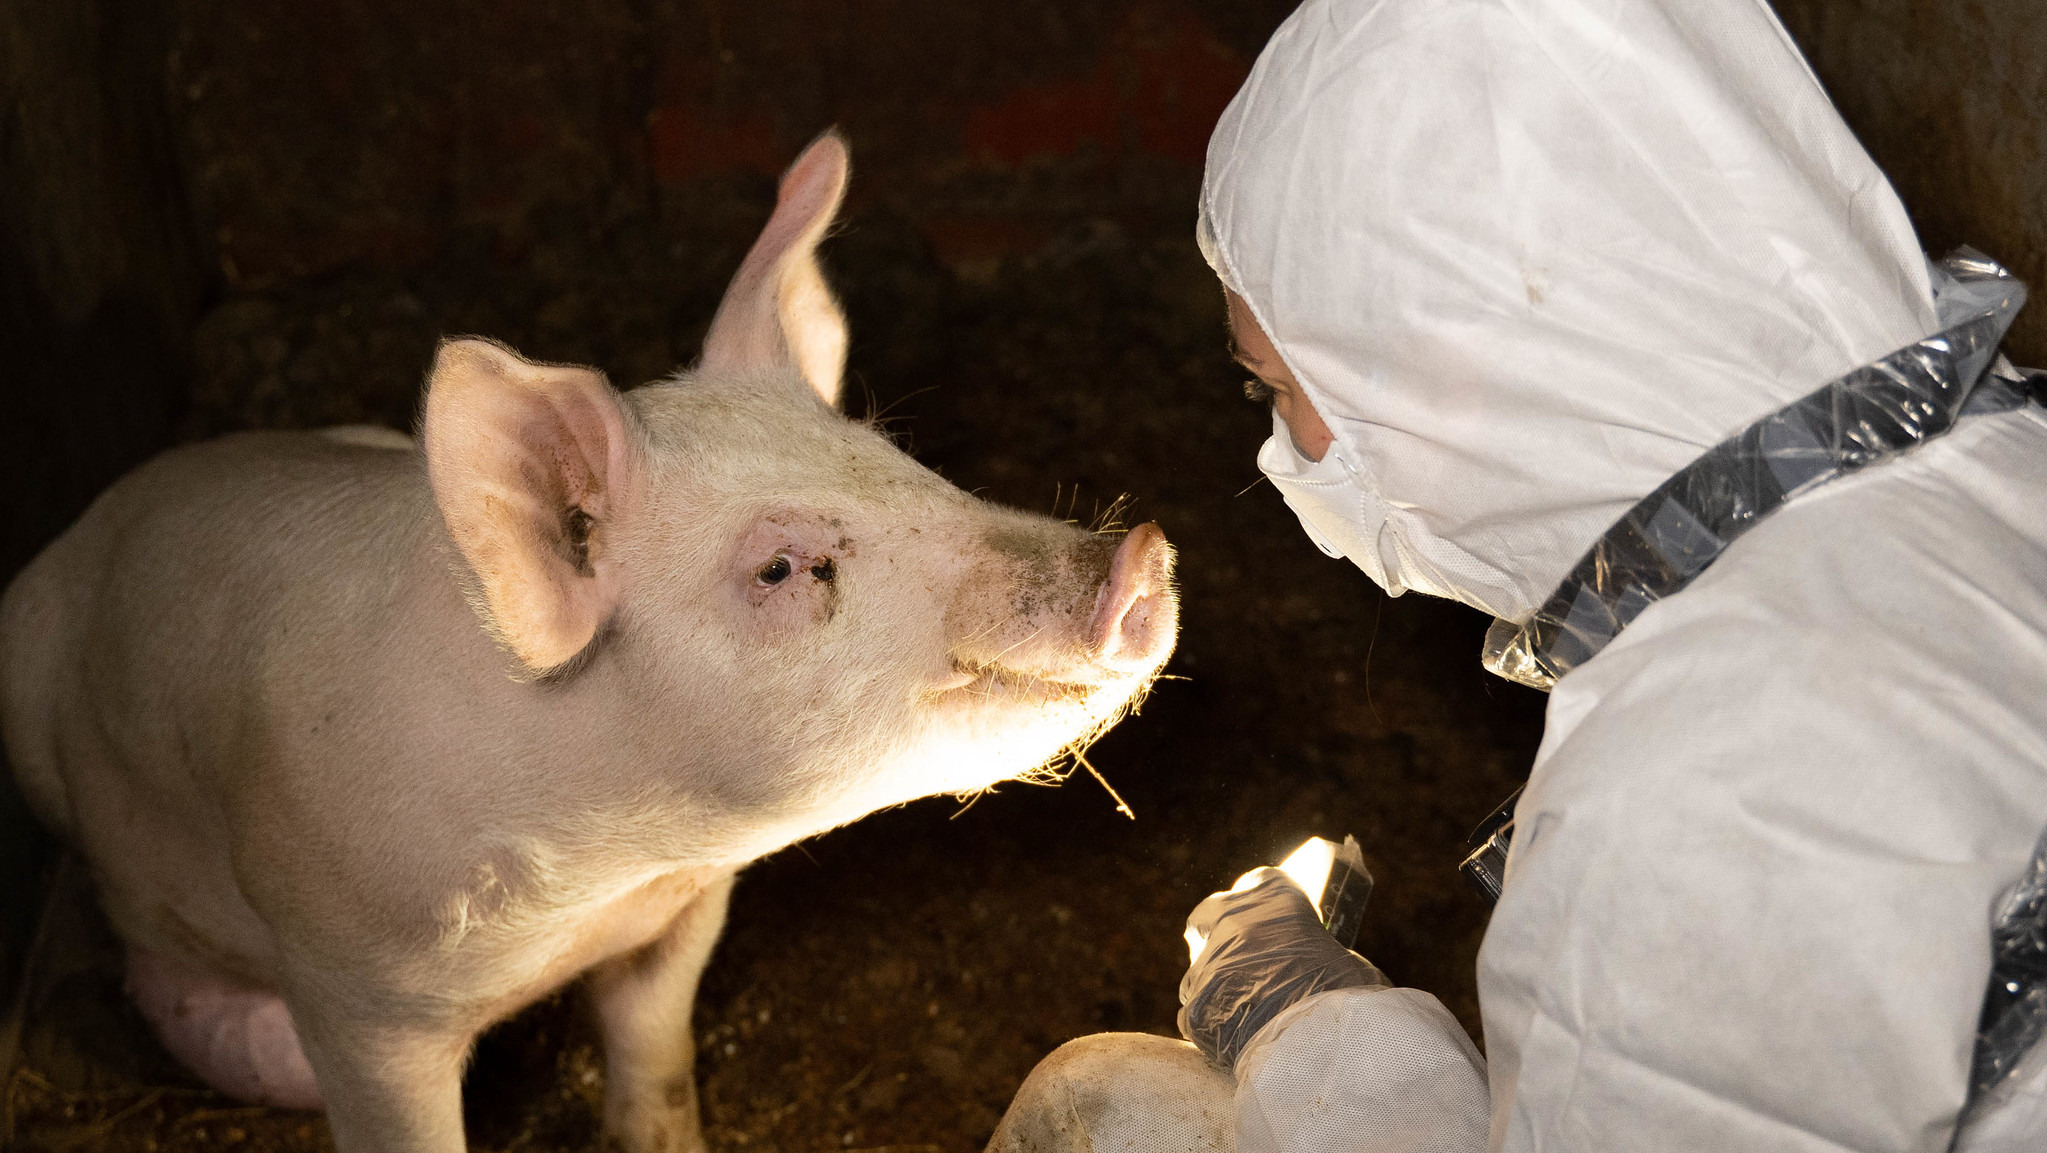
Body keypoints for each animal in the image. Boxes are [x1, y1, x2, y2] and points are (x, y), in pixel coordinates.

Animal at [0, 135, 1179, 1153]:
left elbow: (653, 1047)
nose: (1139, 556)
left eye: (901, 461)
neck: (599, 878)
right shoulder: (353, 994)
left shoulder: (685, 910)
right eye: (780, 567)